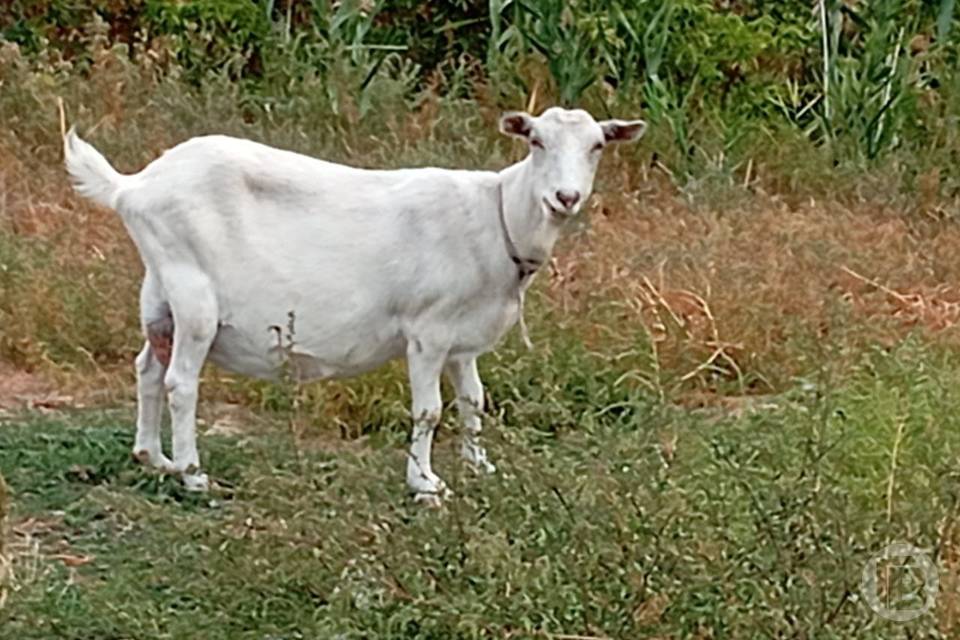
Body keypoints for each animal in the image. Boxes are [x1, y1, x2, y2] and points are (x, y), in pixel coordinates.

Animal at [62, 107, 644, 502]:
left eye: (597, 145)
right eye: (536, 142)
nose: (566, 198)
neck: (498, 214)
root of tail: (132, 187)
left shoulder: (464, 340)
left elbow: (473, 403)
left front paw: (480, 466)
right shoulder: (428, 331)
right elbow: (430, 411)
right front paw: (425, 484)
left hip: (159, 289)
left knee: (146, 365)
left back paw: (152, 457)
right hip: (193, 291)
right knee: (180, 382)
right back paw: (192, 473)